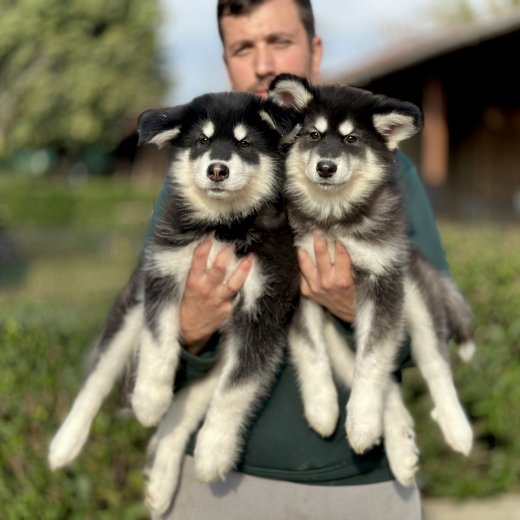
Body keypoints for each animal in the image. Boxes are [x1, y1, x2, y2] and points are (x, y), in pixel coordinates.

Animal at [49, 90, 300, 488]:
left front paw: (215, 451)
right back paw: (65, 444)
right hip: (131, 305)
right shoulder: (163, 271)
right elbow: (158, 338)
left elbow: (236, 388)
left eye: (245, 144)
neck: (222, 226)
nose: (217, 169)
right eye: (202, 141)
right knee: (98, 376)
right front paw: (149, 398)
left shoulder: (265, 309)